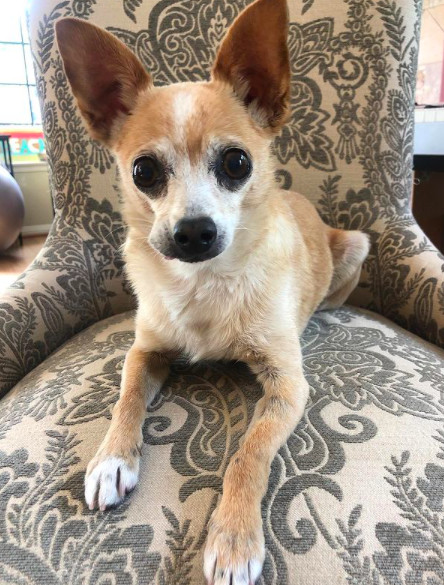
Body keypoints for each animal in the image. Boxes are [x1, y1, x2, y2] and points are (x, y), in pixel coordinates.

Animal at [55, 2, 368, 580]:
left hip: (355, 246)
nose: (193, 231)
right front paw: (112, 458)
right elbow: (125, 398)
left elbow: (249, 452)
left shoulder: (286, 385)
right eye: (144, 171)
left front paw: (235, 536)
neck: (204, 282)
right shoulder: (145, 351)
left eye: (236, 163)